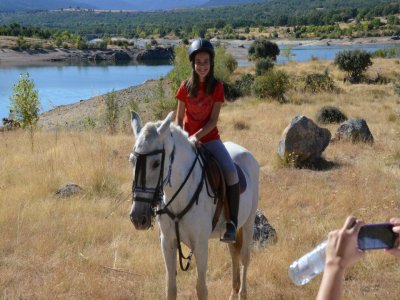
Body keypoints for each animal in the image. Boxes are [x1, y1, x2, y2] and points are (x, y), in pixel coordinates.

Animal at [129, 112, 260, 300]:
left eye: (156, 163)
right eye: (132, 161)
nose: (138, 218)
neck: (179, 195)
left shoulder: (200, 245)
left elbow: (201, 289)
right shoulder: (167, 243)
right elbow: (170, 288)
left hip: (248, 223)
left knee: (244, 256)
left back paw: (242, 293)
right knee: (233, 253)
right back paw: (233, 293)